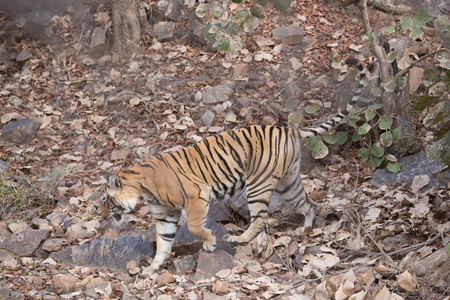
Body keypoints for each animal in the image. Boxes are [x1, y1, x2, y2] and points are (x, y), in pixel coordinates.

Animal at [99, 58, 366, 274]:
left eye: (105, 201)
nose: (102, 218)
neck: (143, 190)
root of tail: (289, 128)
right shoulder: (165, 215)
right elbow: (163, 243)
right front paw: (152, 268)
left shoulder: (197, 196)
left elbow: (195, 227)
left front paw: (210, 242)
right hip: (288, 183)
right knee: (309, 204)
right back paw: (306, 230)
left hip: (258, 184)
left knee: (260, 217)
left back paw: (239, 239)